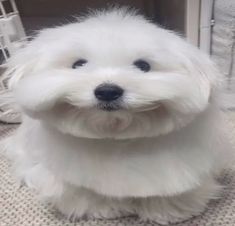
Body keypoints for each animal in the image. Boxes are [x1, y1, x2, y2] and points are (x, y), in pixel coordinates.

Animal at [1, 8, 233, 224]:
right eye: (78, 64)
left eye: (143, 66)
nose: (107, 91)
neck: (115, 136)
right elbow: (88, 193)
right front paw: (106, 209)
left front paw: (166, 211)